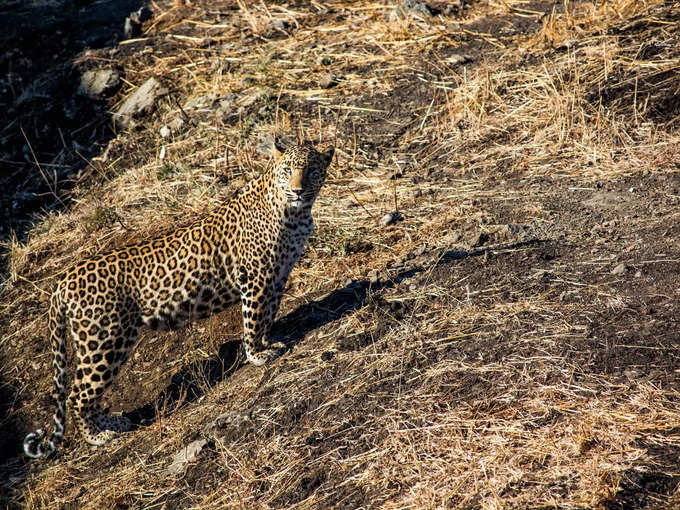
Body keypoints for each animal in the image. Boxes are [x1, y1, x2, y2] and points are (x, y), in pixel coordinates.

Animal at [22, 139, 336, 458]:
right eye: (288, 171)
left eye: (311, 171)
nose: (298, 190)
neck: (295, 214)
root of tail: (63, 280)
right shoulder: (256, 277)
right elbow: (254, 317)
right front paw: (257, 355)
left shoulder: (278, 275)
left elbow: (268, 313)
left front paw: (268, 343)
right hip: (104, 340)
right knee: (77, 393)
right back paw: (98, 436)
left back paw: (113, 423)